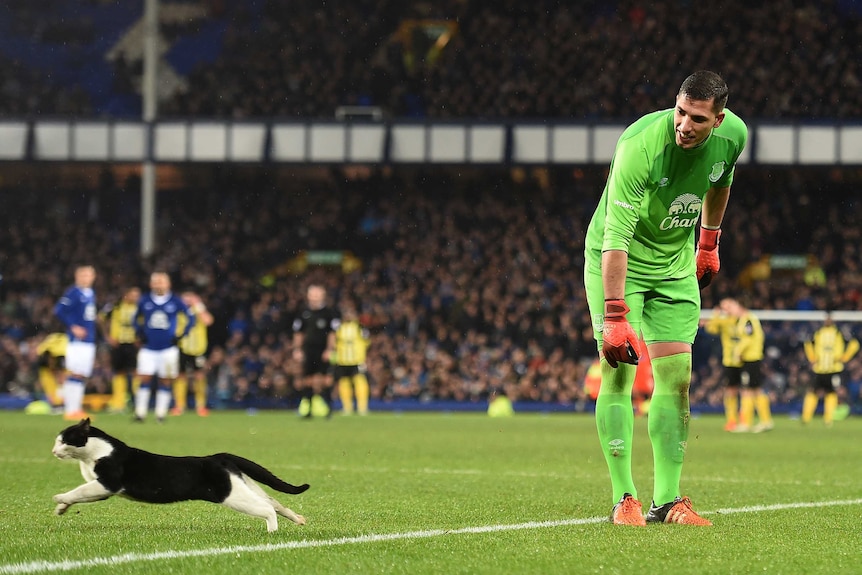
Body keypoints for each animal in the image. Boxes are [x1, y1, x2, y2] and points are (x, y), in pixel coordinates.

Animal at [52, 418, 308, 532]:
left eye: (64, 440)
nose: (53, 451)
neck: (91, 455)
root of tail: (219, 457)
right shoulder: (99, 485)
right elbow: (81, 493)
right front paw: (61, 508)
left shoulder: (107, 484)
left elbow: (78, 491)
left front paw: (59, 498)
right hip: (244, 484)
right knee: (275, 502)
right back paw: (298, 519)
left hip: (232, 495)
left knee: (266, 509)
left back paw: (272, 532)